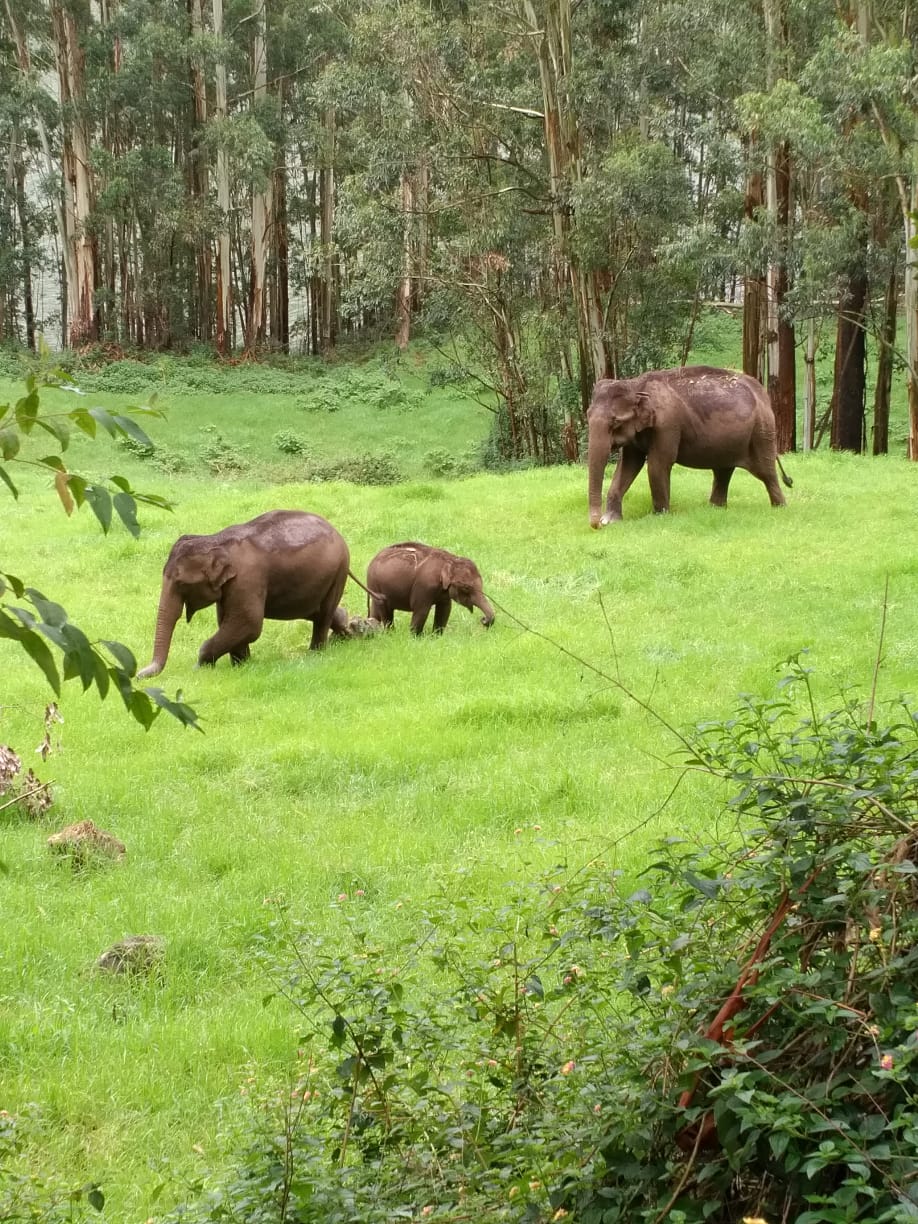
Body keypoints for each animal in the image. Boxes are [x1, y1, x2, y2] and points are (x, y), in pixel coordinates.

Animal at [137, 510, 372, 677]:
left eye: (180, 583)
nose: (139, 674)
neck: (216, 540)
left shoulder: (247, 579)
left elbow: (248, 623)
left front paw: (199, 668)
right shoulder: (232, 585)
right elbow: (229, 621)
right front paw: (242, 665)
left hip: (338, 570)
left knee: (322, 615)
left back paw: (316, 653)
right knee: (319, 612)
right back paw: (347, 633)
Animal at [366, 542, 495, 635]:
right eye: (466, 588)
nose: (483, 620)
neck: (450, 559)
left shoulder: (444, 592)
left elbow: (445, 610)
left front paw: (436, 637)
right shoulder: (424, 587)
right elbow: (421, 610)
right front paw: (416, 638)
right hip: (377, 586)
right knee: (385, 610)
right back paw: (390, 634)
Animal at [587, 366, 793, 527]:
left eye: (615, 422)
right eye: (587, 414)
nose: (597, 525)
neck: (635, 385)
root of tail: (763, 394)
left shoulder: (668, 425)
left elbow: (657, 465)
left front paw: (660, 516)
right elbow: (628, 465)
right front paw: (611, 520)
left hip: (762, 432)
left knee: (766, 472)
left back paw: (780, 508)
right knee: (723, 471)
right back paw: (716, 509)